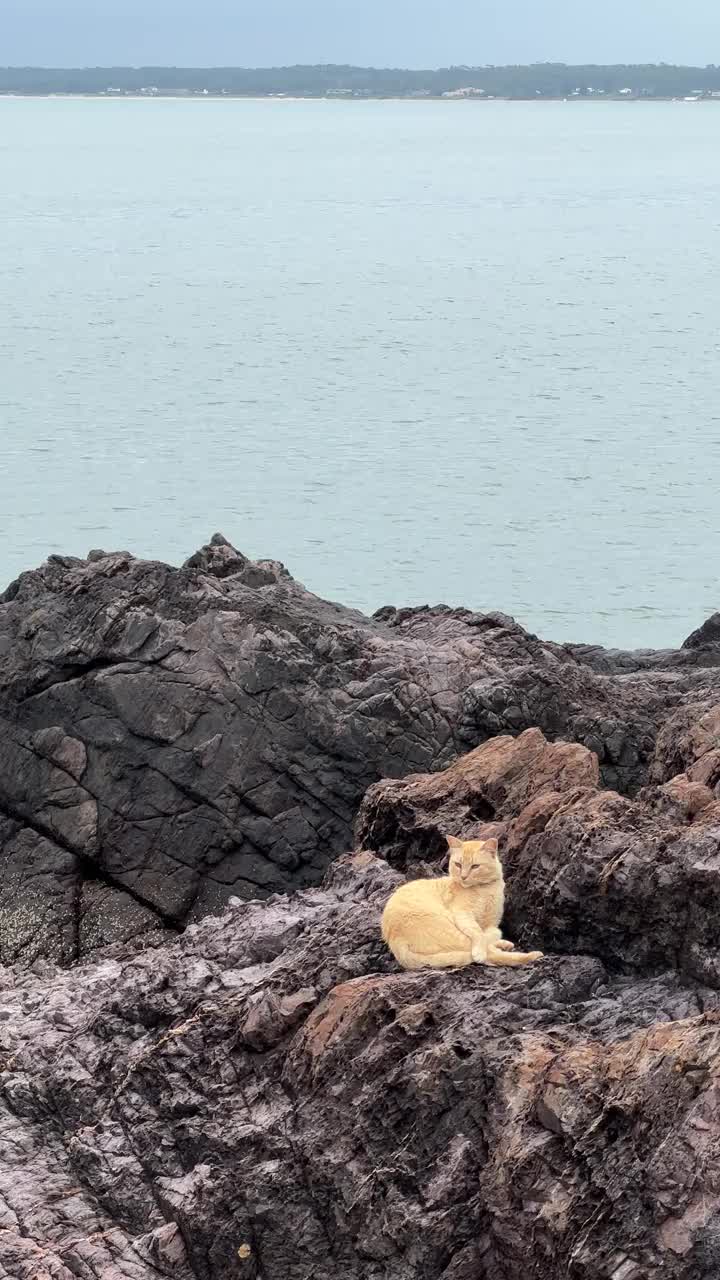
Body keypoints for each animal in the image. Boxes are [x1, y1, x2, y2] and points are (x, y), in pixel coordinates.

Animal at [379, 834, 540, 962]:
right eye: (458, 864)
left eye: (475, 866)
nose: (463, 877)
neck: (484, 889)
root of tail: (395, 942)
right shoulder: (463, 915)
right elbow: (479, 933)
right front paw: (481, 950)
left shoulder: (491, 921)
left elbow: (489, 932)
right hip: (450, 929)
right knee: (492, 955)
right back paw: (532, 955)